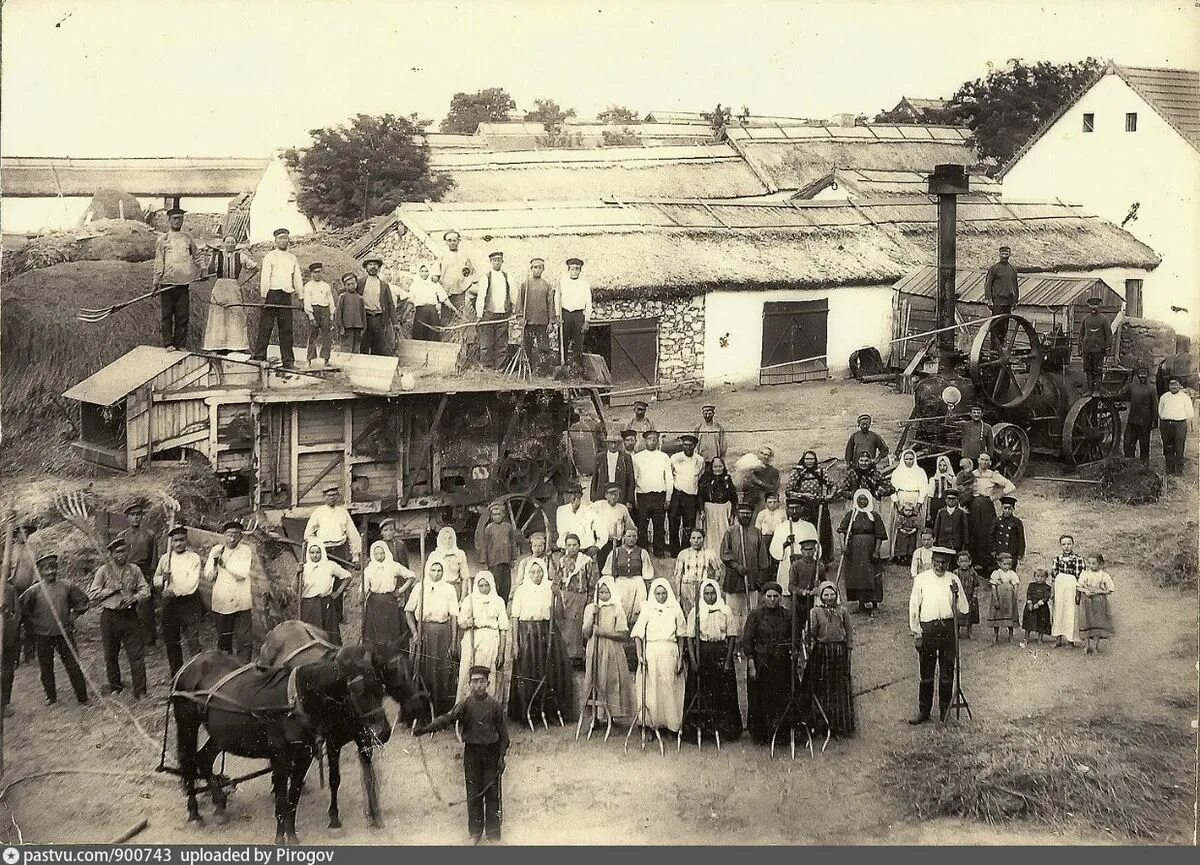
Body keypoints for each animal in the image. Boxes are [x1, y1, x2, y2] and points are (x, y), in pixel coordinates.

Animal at [170, 643, 388, 839]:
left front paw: (291, 834)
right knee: (187, 761)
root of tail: (192, 663)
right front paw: (280, 836)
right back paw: (194, 813)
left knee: (203, 759)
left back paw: (220, 807)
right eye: (359, 692)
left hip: (222, 734)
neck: (298, 702)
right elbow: (282, 798)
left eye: (381, 688)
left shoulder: (304, 755)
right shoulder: (281, 757)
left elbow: (293, 796)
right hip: (187, 725)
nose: (384, 731)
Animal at [258, 619, 432, 830]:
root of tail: (284, 625)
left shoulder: (364, 738)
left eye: (409, 666)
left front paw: (375, 815)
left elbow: (369, 777)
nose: (417, 706)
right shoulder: (333, 742)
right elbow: (334, 779)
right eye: (390, 671)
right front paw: (334, 817)